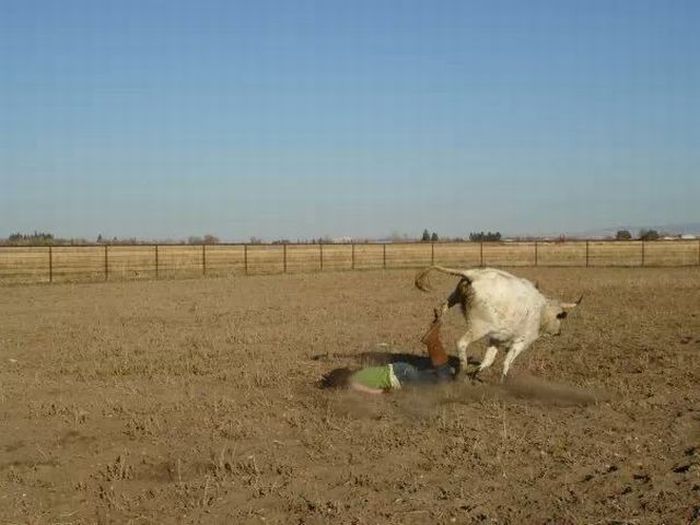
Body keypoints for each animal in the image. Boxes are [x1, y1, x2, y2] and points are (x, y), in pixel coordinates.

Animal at [416, 266, 580, 380]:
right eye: (560, 317)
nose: (559, 332)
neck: (541, 311)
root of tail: (474, 275)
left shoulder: (496, 339)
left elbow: (488, 360)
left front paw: (476, 373)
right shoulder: (520, 343)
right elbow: (507, 362)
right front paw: (503, 380)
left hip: (454, 298)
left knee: (442, 309)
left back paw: (433, 329)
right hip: (478, 328)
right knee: (461, 343)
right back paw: (462, 369)